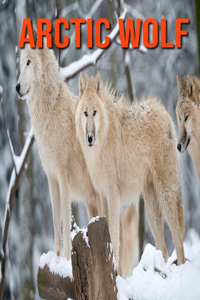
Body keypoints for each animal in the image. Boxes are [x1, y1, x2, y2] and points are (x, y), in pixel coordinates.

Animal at [76, 72, 185, 268]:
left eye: (95, 112)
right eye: (85, 113)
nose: (89, 138)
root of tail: (164, 112)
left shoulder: (113, 195)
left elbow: (115, 237)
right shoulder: (102, 195)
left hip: (165, 195)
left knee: (178, 240)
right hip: (150, 205)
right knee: (163, 247)